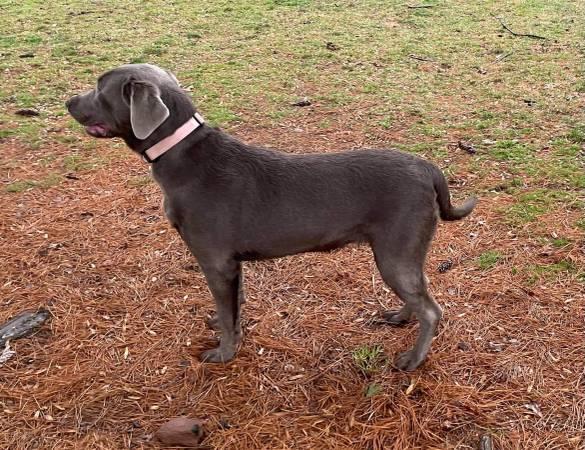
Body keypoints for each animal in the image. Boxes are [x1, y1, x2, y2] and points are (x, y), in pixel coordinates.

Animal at [66, 64, 476, 372]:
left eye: (100, 87)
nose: (68, 101)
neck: (183, 155)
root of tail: (428, 169)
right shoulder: (231, 265)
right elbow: (232, 306)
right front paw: (224, 326)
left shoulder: (215, 261)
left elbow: (228, 314)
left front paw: (223, 353)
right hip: (403, 252)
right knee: (419, 293)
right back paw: (400, 317)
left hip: (395, 251)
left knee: (432, 310)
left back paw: (412, 359)